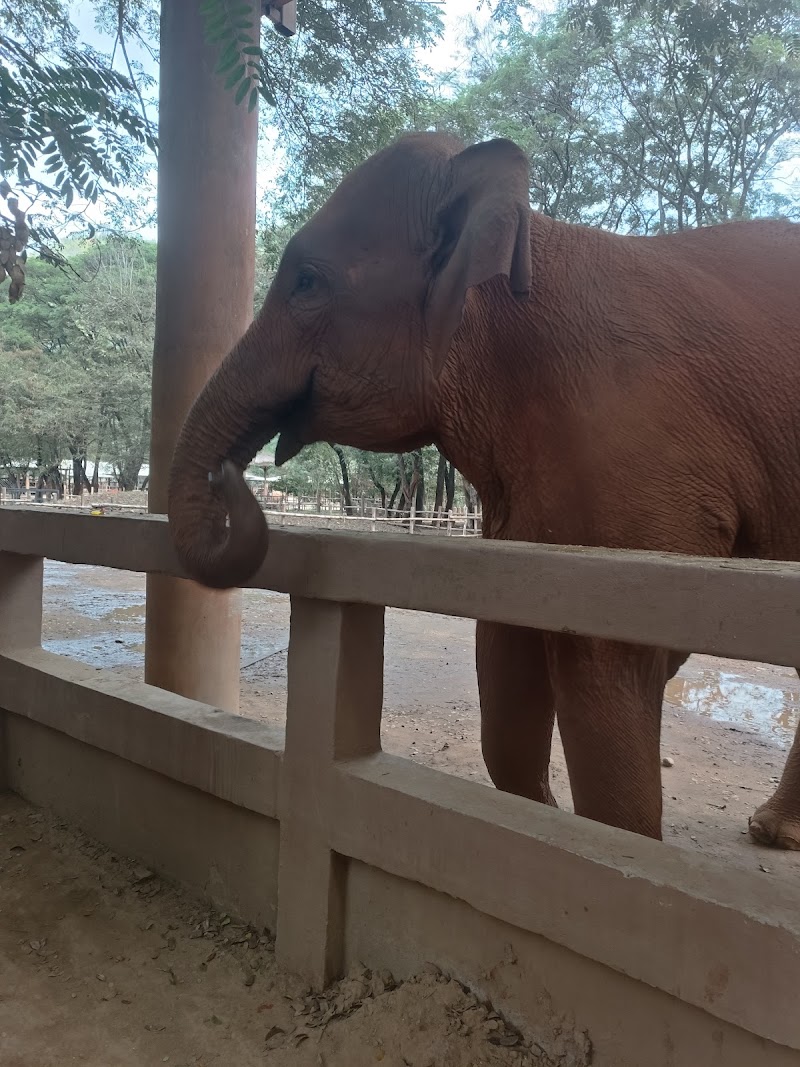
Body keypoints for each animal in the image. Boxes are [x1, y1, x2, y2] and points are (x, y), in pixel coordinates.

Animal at [167, 131, 800, 848]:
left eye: (306, 282)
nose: (230, 477)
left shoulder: (639, 448)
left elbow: (612, 662)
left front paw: (612, 846)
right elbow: (506, 664)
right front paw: (538, 819)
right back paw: (773, 832)